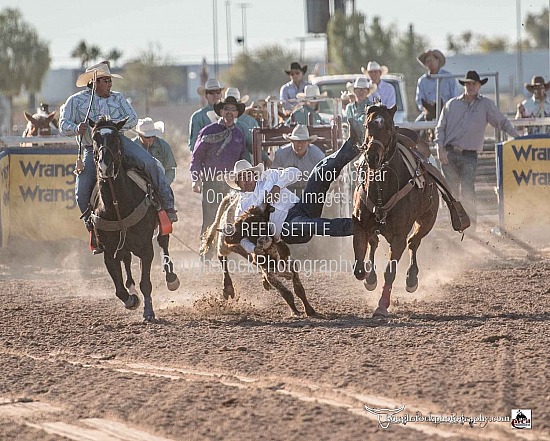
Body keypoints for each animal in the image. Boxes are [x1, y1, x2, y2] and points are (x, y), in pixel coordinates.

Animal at [88, 116, 179, 320]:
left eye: (116, 138)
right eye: (95, 138)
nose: (105, 166)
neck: (117, 206)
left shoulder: (146, 248)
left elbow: (146, 283)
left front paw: (149, 312)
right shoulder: (108, 252)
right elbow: (119, 289)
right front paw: (131, 300)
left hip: (162, 224)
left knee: (164, 243)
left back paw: (171, 278)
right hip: (123, 246)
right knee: (127, 259)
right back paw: (131, 287)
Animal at [356, 104, 442, 314]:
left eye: (388, 127)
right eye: (368, 125)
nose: (372, 157)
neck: (382, 187)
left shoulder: (398, 237)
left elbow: (390, 271)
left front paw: (382, 305)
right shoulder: (362, 225)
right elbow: (368, 249)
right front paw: (370, 278)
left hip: (427, 220)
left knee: (413, 242)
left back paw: (411, 279)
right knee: (375, 242)